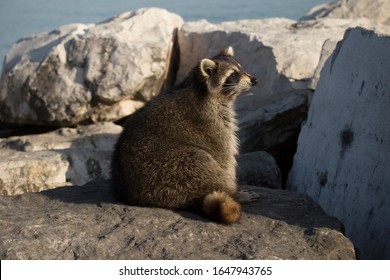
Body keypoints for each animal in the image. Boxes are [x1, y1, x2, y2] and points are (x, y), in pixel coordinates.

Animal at [111, 47, 258, 224]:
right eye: (233, 74)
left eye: (241, 69)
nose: (254, 80)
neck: (200, 88)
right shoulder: (213, 125)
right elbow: (224, 158)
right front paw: (235, 189)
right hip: (175, 168)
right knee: (203, 160)